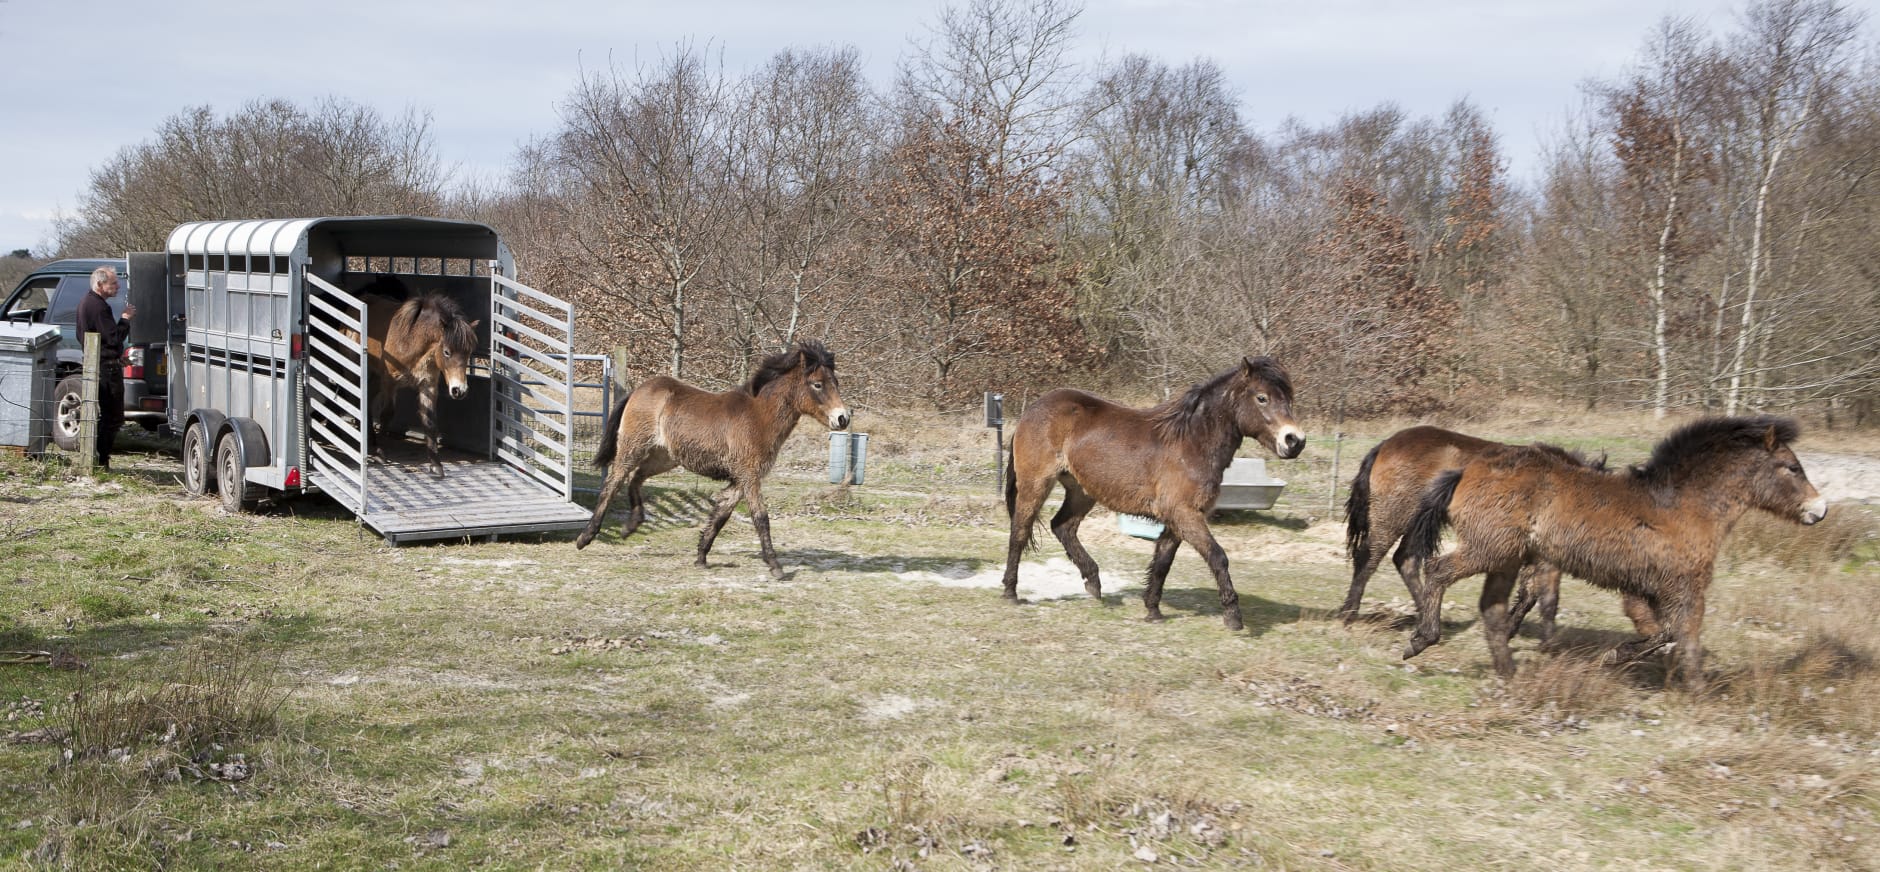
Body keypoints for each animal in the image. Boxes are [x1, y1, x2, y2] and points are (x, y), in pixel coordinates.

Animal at [359, 289, 477, 473]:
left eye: (468, 353)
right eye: (447, 352)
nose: (459, 390)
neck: (410, 342)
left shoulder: (427, 385)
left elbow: (429, 420)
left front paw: (436, 465)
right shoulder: (390, 383)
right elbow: (387, 414)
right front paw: (380, 454)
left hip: (375, 376)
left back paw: (370, 439)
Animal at [571, 340, 853, 578]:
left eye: (836, 382)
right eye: (817, 384)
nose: (843, 418)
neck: (759, 417)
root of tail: (638, 390)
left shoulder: (740, 480)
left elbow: (720, 515)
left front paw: (701, 557)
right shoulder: (749, 476)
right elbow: (761, 517)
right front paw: (775, 566)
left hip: (665, 457)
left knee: (636, 479)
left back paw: (630, 526)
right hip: (633, 447)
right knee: (614, 482)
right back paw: (585, 537)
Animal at [1000, 357, 1308, 631]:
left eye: (1288, 399)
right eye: (1262, 398)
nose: (1295, 441)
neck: (1191, 442)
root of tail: (1033, 409)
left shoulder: (1177, 518)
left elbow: (1162, 562)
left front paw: (1153, 610)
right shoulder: (1184, 514)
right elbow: (1217, 556)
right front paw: (1233, 616)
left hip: (1082, 490)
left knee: (1062, 526)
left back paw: (1093, 583)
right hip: (1036, 484)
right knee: (1020, 530)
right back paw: (1011, 592)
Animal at [1406, 415, 1827, 687]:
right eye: (1792, 468)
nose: (1819, 510)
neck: (1683, 505)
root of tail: (1466, 471)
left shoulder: (1646, 590)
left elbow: (1664, 633)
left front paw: (1622, 659)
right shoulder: (1683, 587)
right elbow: (1683, 637)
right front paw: (1695, 691)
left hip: (1506, 559)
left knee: (1493, 608)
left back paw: (1510, 673)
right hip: (1488, 549)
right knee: (1438, 569)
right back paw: (1422, 639)